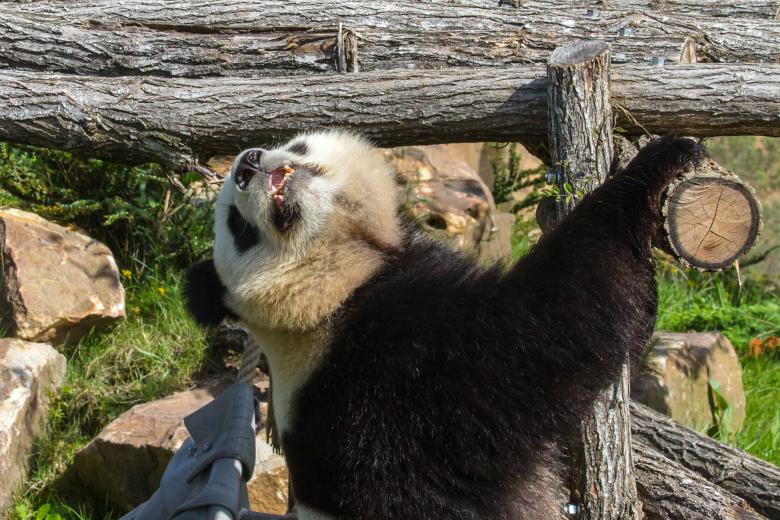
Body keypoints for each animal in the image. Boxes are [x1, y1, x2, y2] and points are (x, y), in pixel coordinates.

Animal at [184, 130, 705, 520]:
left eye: (297, 145)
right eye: (238, 228)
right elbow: (548, 325)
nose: (248, 163)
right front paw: (661, 161)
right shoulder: (389, 374)